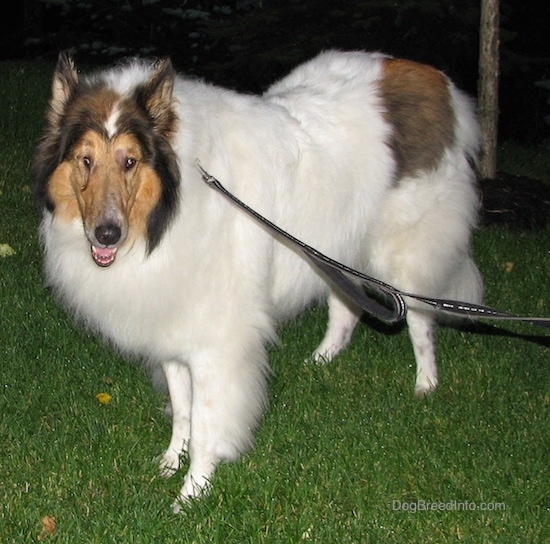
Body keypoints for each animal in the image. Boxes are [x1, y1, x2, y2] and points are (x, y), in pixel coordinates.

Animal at [33, 50, 484, 510]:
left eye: (129, 161)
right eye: (85, 160)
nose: (107, 234)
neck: (169, 214)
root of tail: (434, 79)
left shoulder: (217, 345)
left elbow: (207, 423)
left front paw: (192, 493)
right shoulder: (173, 329)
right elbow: (183, 409)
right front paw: (171, 460)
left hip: (404, 250)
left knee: (419, 318)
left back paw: (425, 384)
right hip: (334, 246)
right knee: (347, 308)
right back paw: (321, 360)